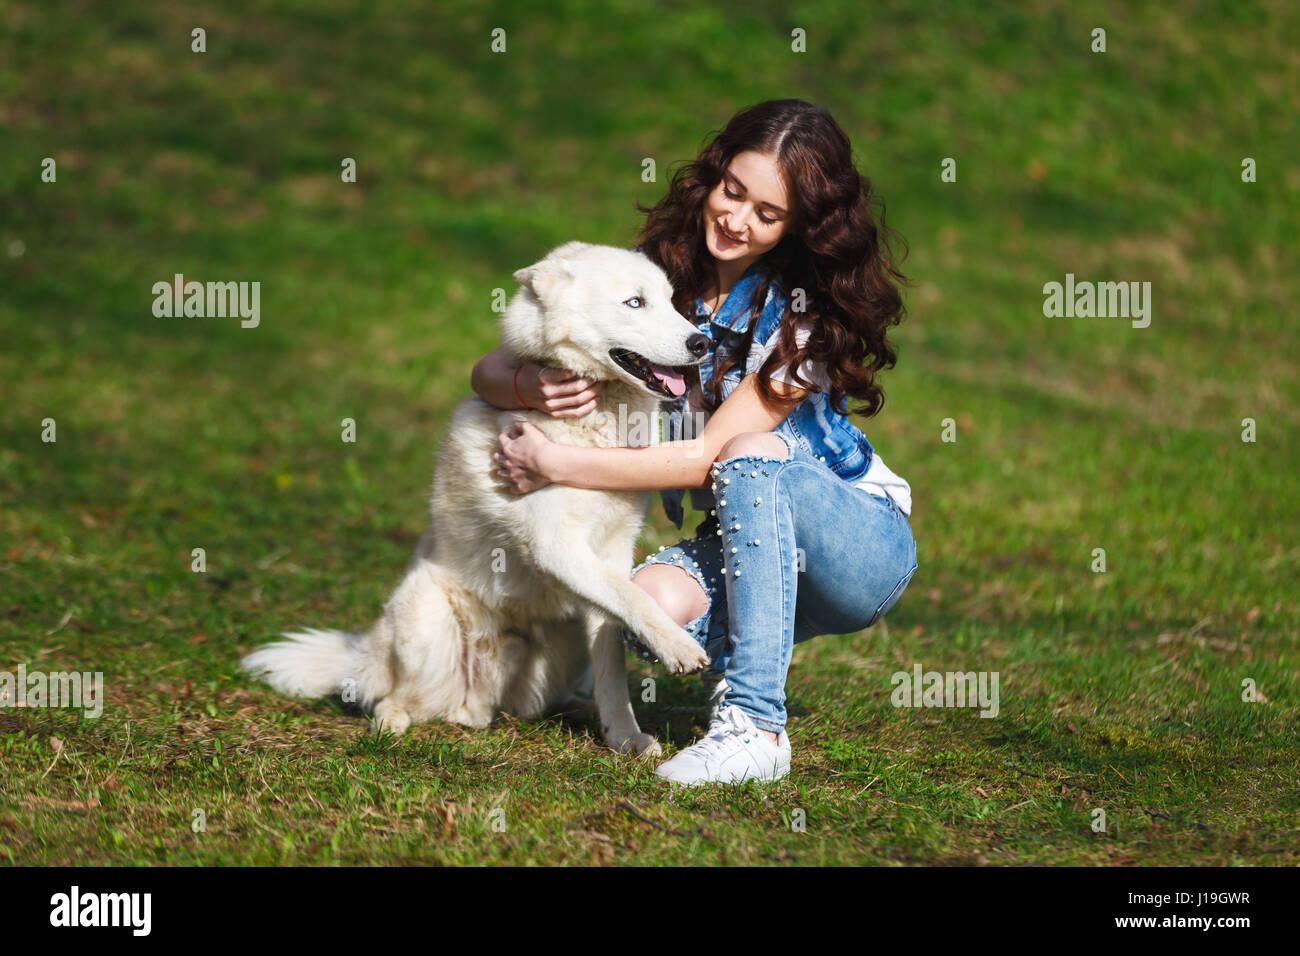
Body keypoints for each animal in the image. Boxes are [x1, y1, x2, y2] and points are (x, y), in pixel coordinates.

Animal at [241, 243, 712, 759]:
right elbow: (636, 600)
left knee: (533, 702)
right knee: (395, 697)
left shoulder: (611, 552)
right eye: (634, 302)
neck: (597, 425)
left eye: (671, 301)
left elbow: (614, 650)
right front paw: (679, 648)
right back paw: (390, 724)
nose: (701, 344)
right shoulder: (555, 546)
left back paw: (577, 709)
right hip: (424, 620)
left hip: (563, 643)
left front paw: (624, 737)